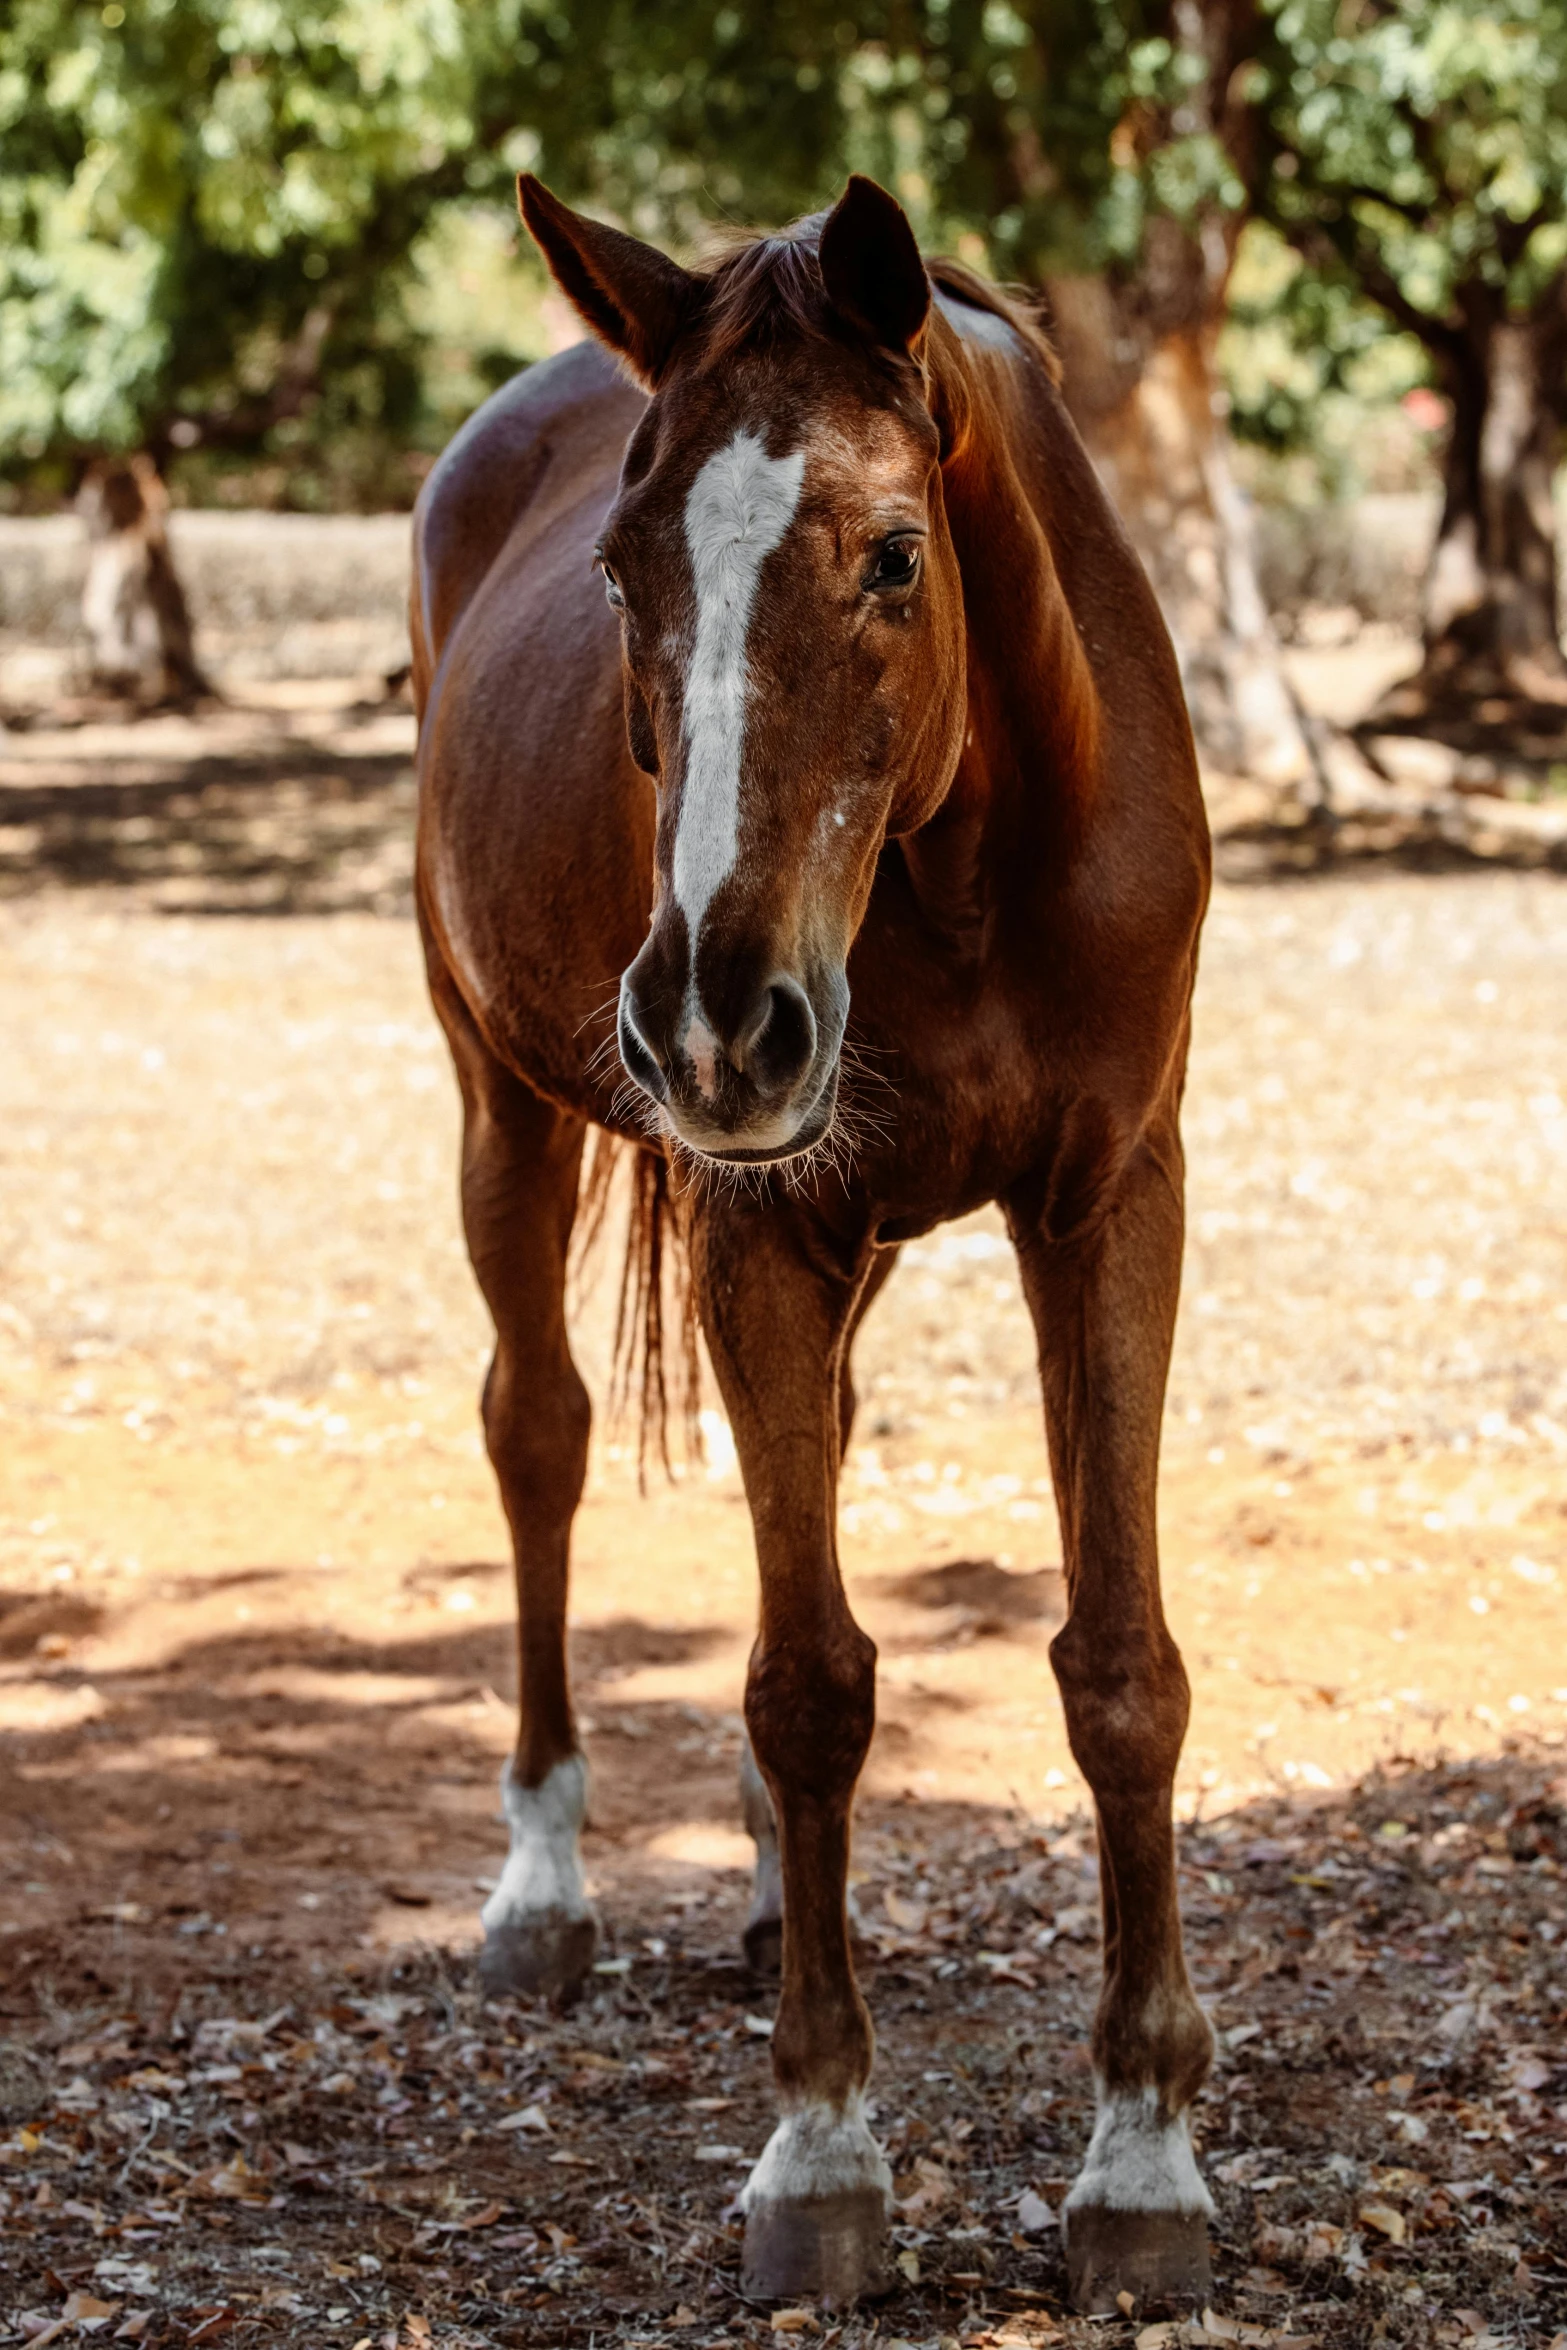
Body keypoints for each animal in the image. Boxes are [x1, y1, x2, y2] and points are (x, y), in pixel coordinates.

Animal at [411, 178, 1221, 2312]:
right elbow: (805, 1681)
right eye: (621, 573)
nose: (712, 1017)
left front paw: (1141, 2159)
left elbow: (1117, 1665)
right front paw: (822, 2150)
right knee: (537, 1437)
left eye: (892, 555)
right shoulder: (756, 1217)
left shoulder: (1114, 1204)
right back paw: (544, 1889)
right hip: (504, 1106)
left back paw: (782, 1890)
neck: (970, 860)